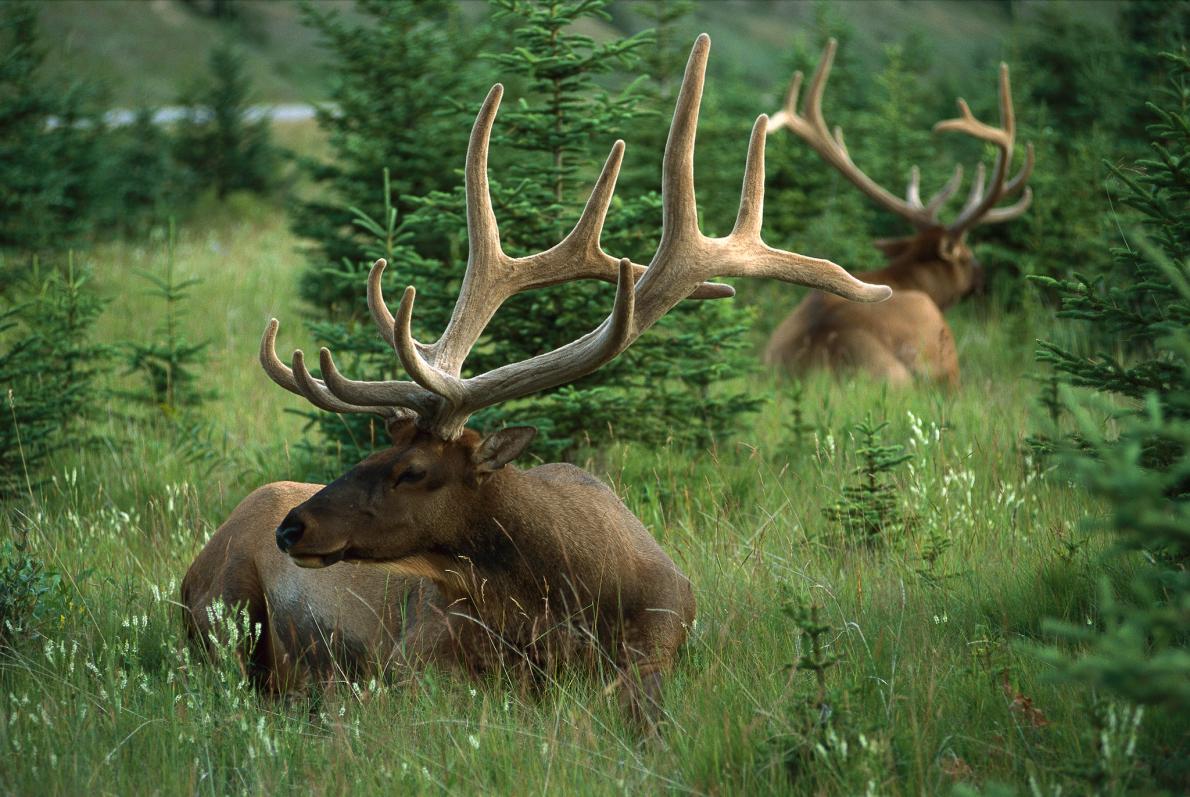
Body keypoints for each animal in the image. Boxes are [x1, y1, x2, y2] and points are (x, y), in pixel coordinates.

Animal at [180, 32, 894, 723]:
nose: (293, 529)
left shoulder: (663, 642)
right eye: (372, 452)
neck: (574, 597)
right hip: (222, 611)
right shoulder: (417, 651)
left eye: (411, 470)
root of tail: (196, 563)